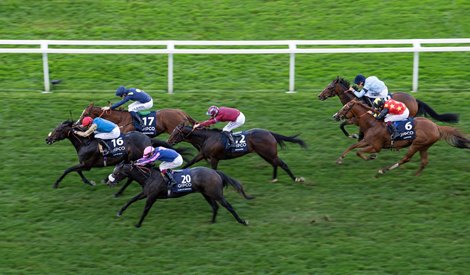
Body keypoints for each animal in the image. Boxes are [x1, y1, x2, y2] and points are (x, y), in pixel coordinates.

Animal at [45, 121, 180, 190]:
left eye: (58, 130)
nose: (47, 139)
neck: (85, 142)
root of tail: (148, 139)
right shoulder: (84, 164)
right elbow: (77, 171)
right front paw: (89, 182)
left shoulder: (87, 164)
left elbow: (68, 170)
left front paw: (56, 184)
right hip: (129, 158)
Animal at [106, 164, 253, 229]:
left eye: (117, 172)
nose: (109, 181)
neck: (149, 177)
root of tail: (215, 172)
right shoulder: (146, 193)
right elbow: (131, 200)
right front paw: (120, 212)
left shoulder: (152, 196)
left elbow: (145, 210)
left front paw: (138, 224)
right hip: (206, 193)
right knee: (215, 207)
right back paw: (211, 222)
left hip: (215, 193)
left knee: (228, 206)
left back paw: (242, 221)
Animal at [167, 125, 306, 183]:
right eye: (172, 131)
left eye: (176, 133)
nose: (168, 141)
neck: (207, 138)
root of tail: (270, 133)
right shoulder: (203, 154)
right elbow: (190, 162)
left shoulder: (214, 158)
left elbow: (214, 170)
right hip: (264, 153)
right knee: (275, 163)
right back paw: (274, 178)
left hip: (268, 152)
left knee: (282, 164)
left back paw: (296, 179)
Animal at [320, 76, 458, 138]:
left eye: (329, 87)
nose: (319, 96)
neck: (355, 100)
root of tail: (414, 99)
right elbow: (342, 125)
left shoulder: (356, 119)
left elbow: (342, 125)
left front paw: (353, 136)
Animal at [332, 101, 468, 177]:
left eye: (345, 108)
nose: (335, 116)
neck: (372, 123)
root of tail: (436, 126)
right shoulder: (366, 140)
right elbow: (352, 147)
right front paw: (339, 159)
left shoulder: (376, 146)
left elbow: (359, 151)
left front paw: (370, 157)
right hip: (423, 146)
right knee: (424, 162)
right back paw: (415, 176)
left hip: (416, 144)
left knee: (406, 159)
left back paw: (384, 170)